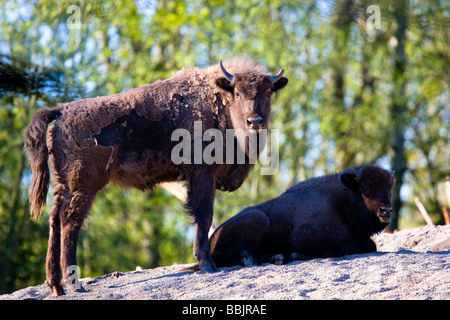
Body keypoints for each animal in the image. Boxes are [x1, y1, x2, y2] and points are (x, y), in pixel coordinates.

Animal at [23, 55, 288, 296]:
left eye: (267, 92)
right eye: (238, 93)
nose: (255, 121)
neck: (219, 101)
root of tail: (61, 112)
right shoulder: (203, 175)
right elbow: (204, 216)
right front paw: (207, 264)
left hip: (64, 184)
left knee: (55, 220)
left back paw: (55, 285)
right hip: (83, 183)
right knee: (70, 221)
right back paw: (75, 285)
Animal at [208, 165, 394, 268]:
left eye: (390, 188)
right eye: (365, 188)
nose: (386, 211)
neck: (342, 199)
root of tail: (211, 238)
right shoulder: (304, 236)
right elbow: (360, 246)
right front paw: (295, 255)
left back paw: (276, 258)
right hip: (259, 219)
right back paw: (253, 259)